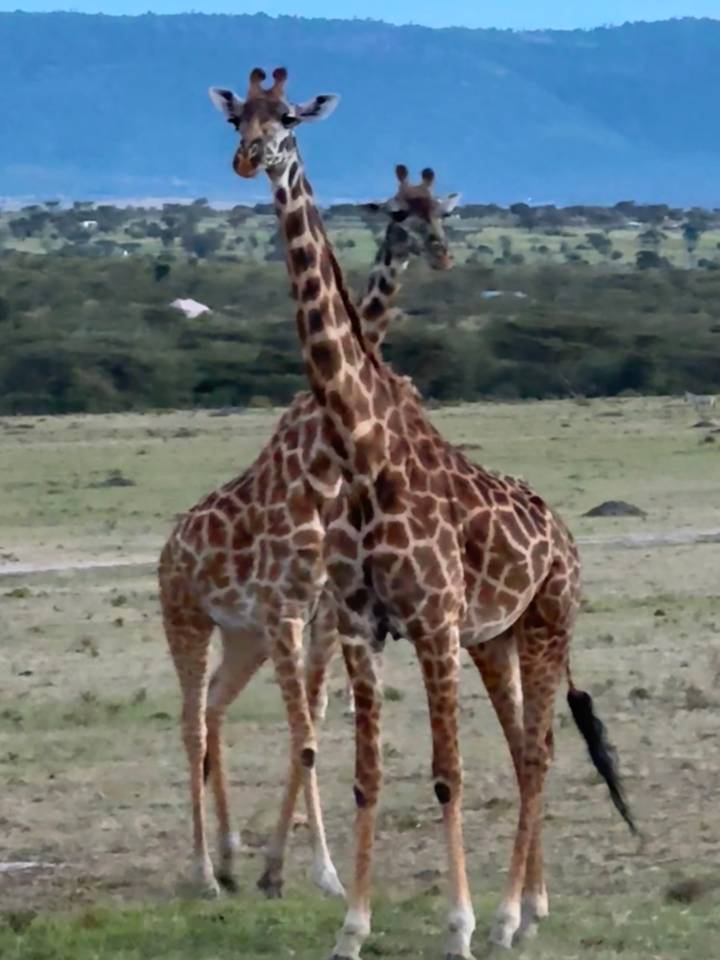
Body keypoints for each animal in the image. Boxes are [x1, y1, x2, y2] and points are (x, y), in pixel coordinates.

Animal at [159, 160, 460, 900]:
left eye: (442, 211)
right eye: (400, 213)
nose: (441, 253)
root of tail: (168, 549)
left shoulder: (317, 615)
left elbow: (313, 726)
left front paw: (281, 864)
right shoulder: (298, 613)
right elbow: (306, 732)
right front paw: (312, 870)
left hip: (242, 635)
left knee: (215, 708)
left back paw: (230, 854)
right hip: (190, 620)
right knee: (190, 720)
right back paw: (205, 871)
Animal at [209, 68, 635, 958]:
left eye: (289, 117)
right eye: (238, 117)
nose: (250, 158)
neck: (365, 455)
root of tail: (566, 536)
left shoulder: (433, 624)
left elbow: (447, 774)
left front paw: (460, 925)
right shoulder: (364, 627)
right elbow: (367, 774)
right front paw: (352, 926)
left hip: (547, 622)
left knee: (537, 751)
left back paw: (510, 915)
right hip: (495, 638)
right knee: (523, 745)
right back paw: (525, 905)